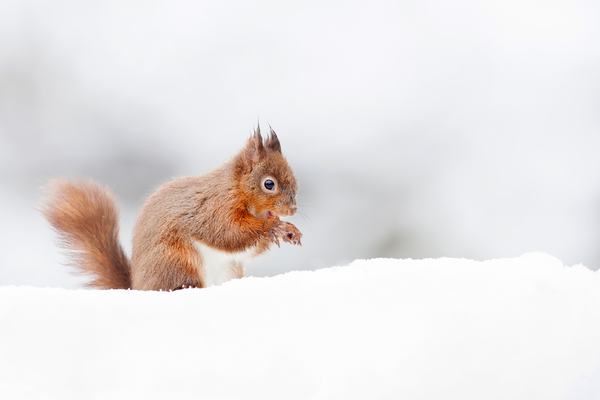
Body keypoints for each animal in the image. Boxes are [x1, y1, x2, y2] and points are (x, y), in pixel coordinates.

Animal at [41, 128, 302, 290]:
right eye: (269, 184)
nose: (293, 210)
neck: (236, 188)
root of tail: (138, 286)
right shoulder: (214, 207)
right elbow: (227, 233)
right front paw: (273, 225)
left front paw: (289, 229)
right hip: (176, 261)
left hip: (228, 270)